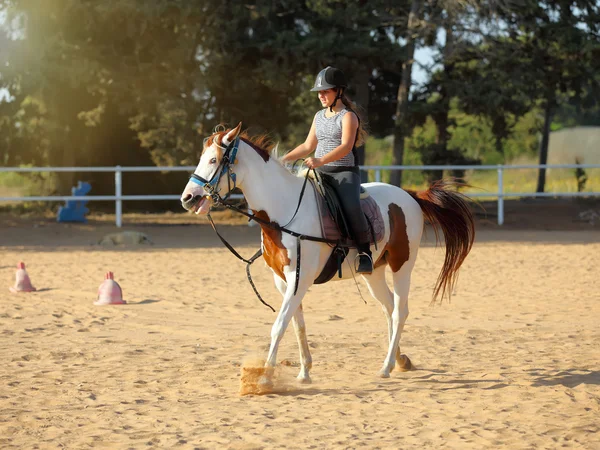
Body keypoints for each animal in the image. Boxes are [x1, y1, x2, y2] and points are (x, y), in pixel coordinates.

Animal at [180, 123, 476, 386]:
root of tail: (410, 196)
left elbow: (279, 325)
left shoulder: (299, 279)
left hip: (402, 265)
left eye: (214, 159)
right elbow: (297, 325)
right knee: (389, 308)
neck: (285, 209)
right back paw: (400, 360)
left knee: (400, 311)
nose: (188, 198)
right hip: (374, 272)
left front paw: (265, 377)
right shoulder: (283, 282)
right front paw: (304, 373)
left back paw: (386, 367)